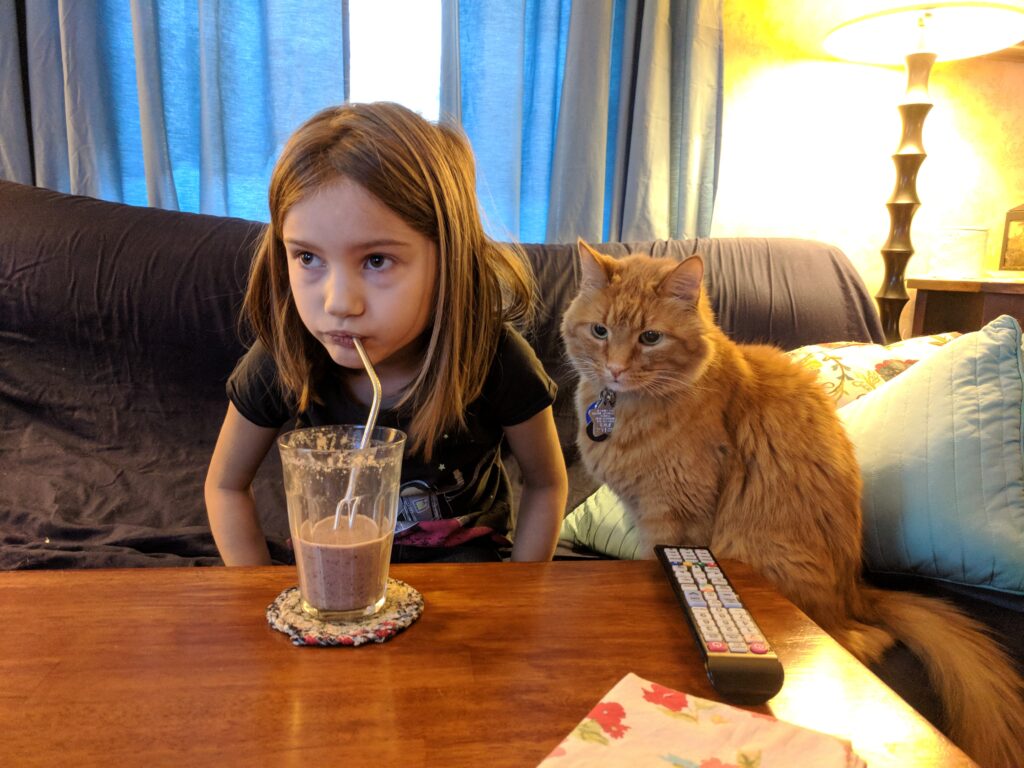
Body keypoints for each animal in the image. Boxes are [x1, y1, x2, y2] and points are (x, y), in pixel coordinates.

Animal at [560, 239, 1024, 768]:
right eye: (600, 331)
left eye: (651, 337)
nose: (616, 368)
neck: (626, 409)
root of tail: (856, 591)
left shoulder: (673, 518)